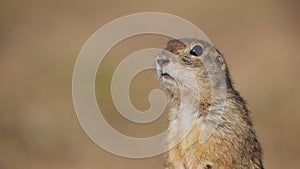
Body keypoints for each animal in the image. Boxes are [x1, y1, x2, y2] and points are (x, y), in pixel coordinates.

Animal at [156, 39, 264, 168]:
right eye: (168, 43)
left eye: (196, 50)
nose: (160, 59)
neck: (189, 103)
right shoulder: (173, 127)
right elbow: (173, 153)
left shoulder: (221, 125)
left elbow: (212, 152)